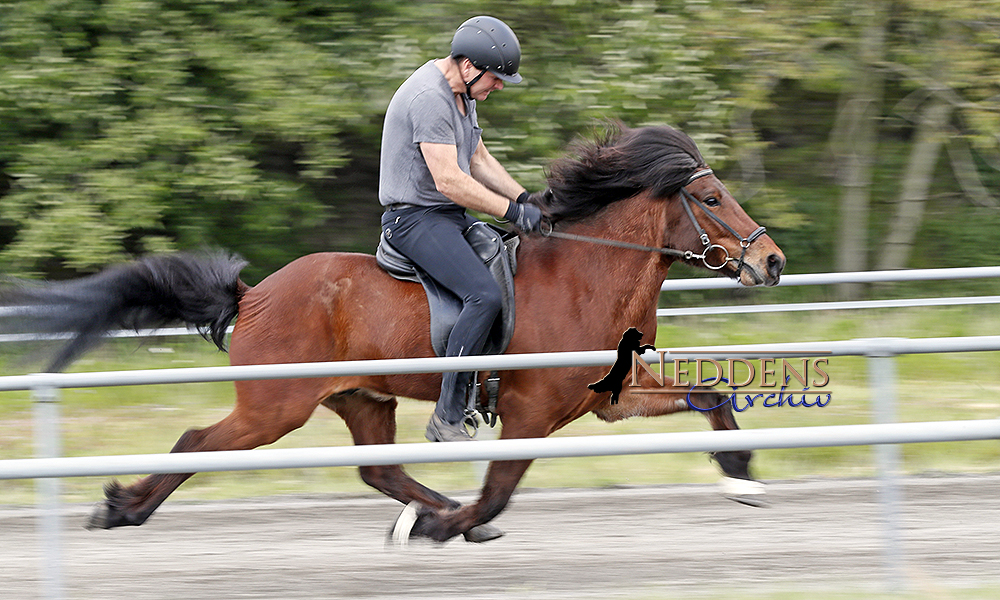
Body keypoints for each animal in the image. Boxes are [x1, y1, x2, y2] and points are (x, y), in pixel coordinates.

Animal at [3, 123, 784, 544]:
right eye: (712, 198)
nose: (771, 262)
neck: (588, 273)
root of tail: (255, 295)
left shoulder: (609, 399)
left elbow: (711, 395)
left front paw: (742, 476)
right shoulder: (531, 413)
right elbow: (501, 486)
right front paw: (451, 527)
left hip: (363, 397)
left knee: (379, 469)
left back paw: (433, 512)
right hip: (273, 407)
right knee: (197, 442)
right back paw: (121, 509)